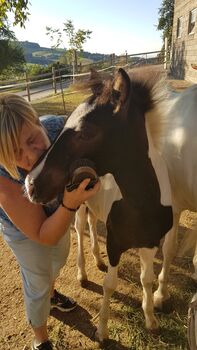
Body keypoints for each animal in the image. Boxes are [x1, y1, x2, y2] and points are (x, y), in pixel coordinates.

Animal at [24, 67, 194, 342]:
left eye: (86, 132)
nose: (30, 184)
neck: (142, 205)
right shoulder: (114, 244)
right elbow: (110, 285)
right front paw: (102, 331)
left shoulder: (149, 244)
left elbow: (146, 279)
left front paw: (151, 320)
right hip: (78, 207)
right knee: (80, 230)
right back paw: (83, 274)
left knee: (94, 223)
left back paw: (97, 260)